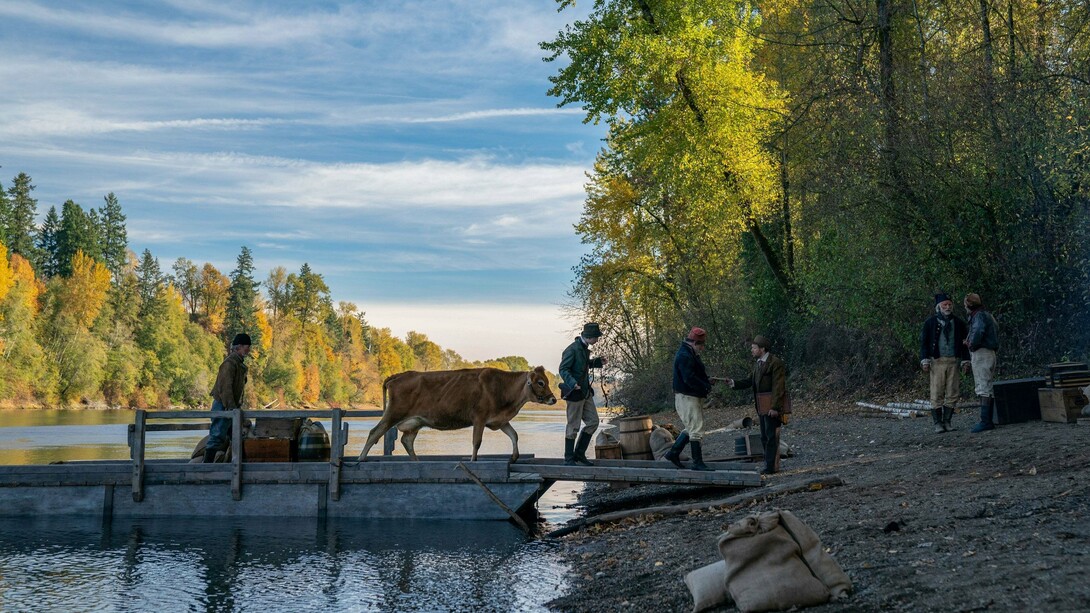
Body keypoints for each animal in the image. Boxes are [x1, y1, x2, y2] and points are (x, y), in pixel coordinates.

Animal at [358, 366, 557, 462]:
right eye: (540, 382)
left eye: (546, 381)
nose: (554, 399)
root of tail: (399, 375)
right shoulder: (479, 417)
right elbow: (477, 442)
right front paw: (472, 460)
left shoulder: (499, 420)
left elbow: (514, 435)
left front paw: (515, 457)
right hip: (394, 412)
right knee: (374, 432)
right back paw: (360, 459)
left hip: (414, 422)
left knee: (407, 441)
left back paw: (417, 461)